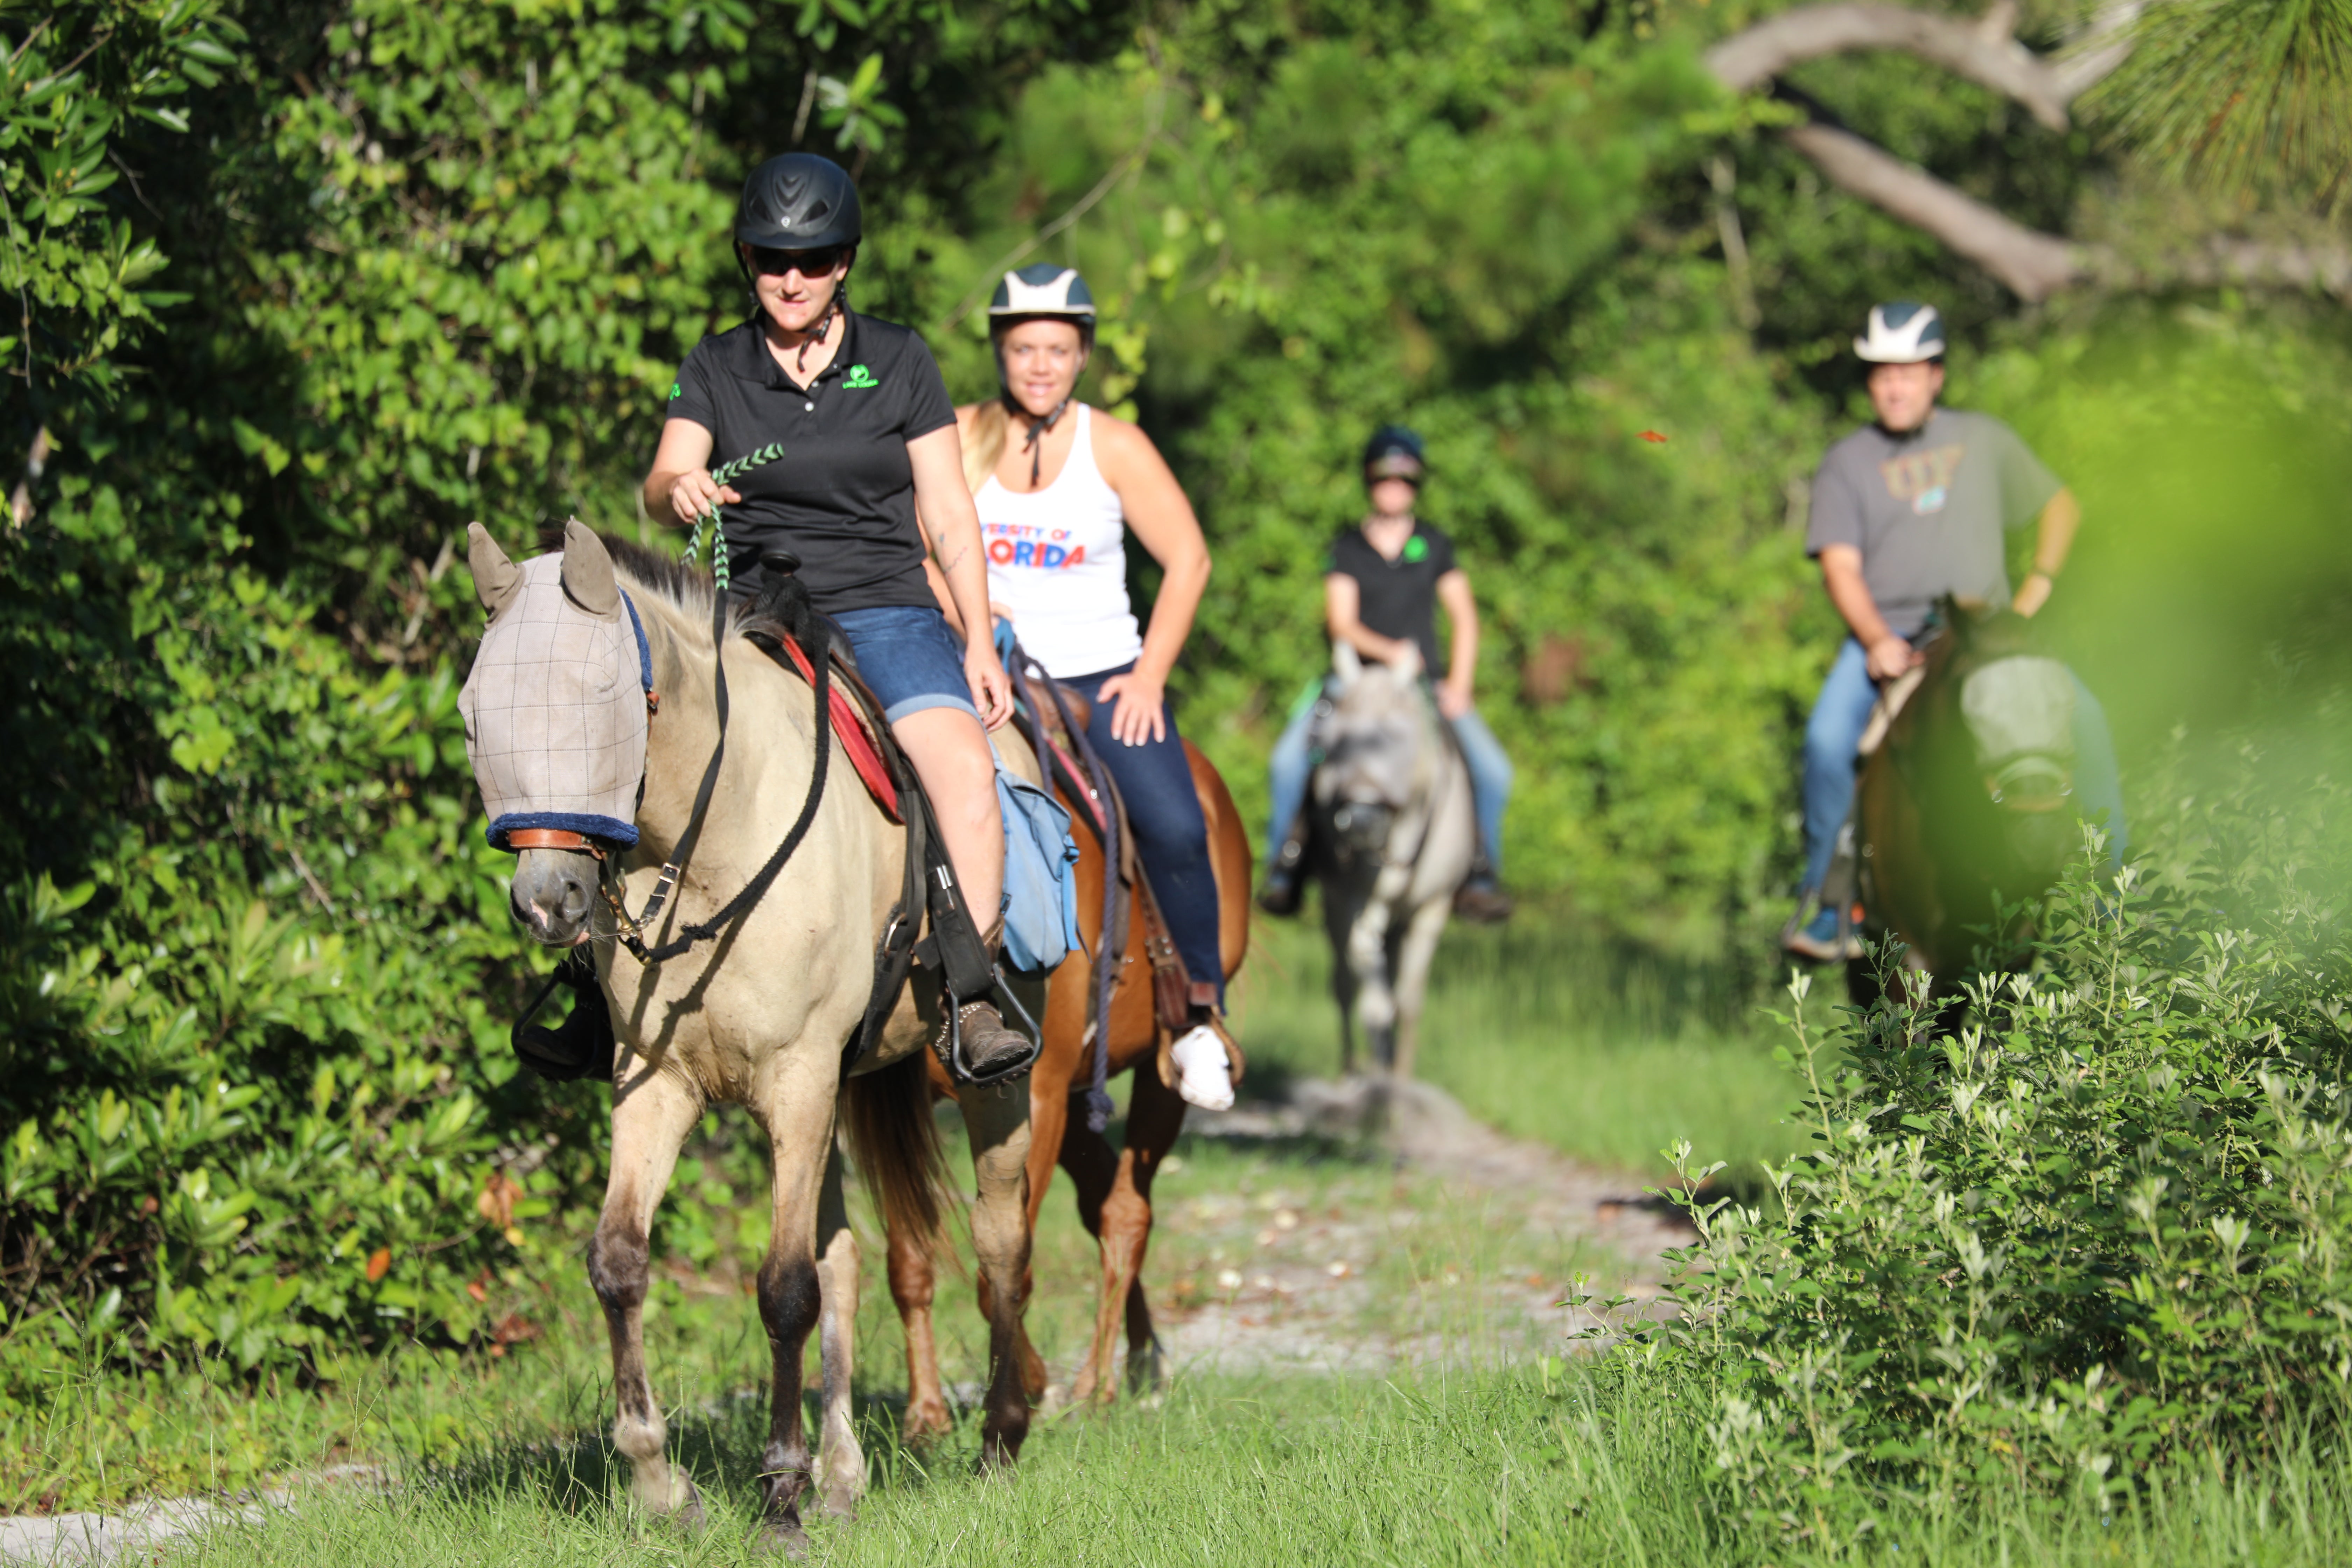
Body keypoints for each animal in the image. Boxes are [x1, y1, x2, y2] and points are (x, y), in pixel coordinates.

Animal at [463, 524, 1035, 1542]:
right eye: (475, 716)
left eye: (599, 700)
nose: (546, 900)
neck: (710, 848)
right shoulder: (660, 1083)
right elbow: (620, 1262)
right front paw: (664, 1487)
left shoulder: (795, 1081)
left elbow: (784, 1288)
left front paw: (778, 1498)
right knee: (847, 1256)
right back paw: (845, 1477)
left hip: (992, 1085)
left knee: (1002, 1235)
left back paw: (1002, 1438)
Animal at [880, 729, 1251, 1438]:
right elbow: (909, 1261)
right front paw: (925, 1416)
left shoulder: (1039, 1096)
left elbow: (1005, 1267)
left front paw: (1028, 1388)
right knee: (1105, 1201)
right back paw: (1140, 1363)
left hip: (1156, 1077)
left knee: (1128, 1212)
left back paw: (1098, 1386)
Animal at [1308, 639, 1468, 1081]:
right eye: (1333, 742)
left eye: (1400, 738)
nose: (1360, 821)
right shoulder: (1353, 902)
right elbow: (1373, 999)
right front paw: (1379, 1074)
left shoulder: (1432, 909)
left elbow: (1409, 1002)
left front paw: (1401, 1074)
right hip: (1334, 905)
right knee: (1344, 986)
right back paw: (1351, 1068)